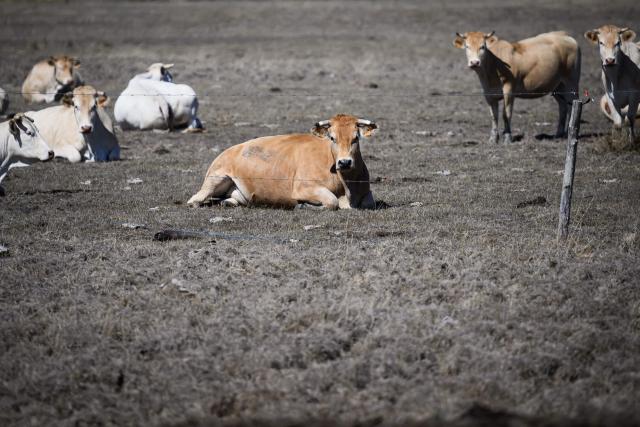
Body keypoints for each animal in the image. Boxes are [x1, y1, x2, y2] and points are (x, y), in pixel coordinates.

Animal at [187, 114, 377, 210]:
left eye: (355, 138)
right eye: (332, 138)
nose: (344, 162)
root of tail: (227, 151)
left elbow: (369, 202)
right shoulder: (303, 188)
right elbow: (331, 202)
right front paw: (304, 205)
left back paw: (226, 202)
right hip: (216, 179)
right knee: (195, 200)